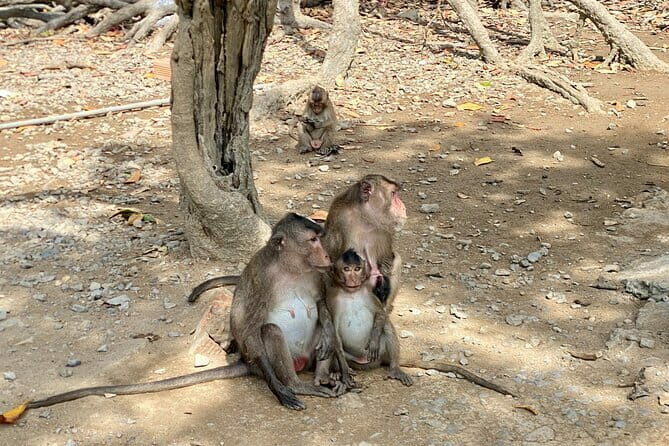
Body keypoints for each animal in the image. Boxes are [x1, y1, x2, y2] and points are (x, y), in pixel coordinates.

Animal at [0, 214, 346, 423]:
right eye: (313, 241)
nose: (328, 256)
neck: (292, 268)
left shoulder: (316, 275)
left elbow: (321, 307)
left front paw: (330, 338)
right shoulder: (259, 273)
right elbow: (245, 324)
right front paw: (280, 390)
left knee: (320, 337)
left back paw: (328, 376)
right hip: (269, 360)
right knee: (270, 331)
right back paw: (296, 385)